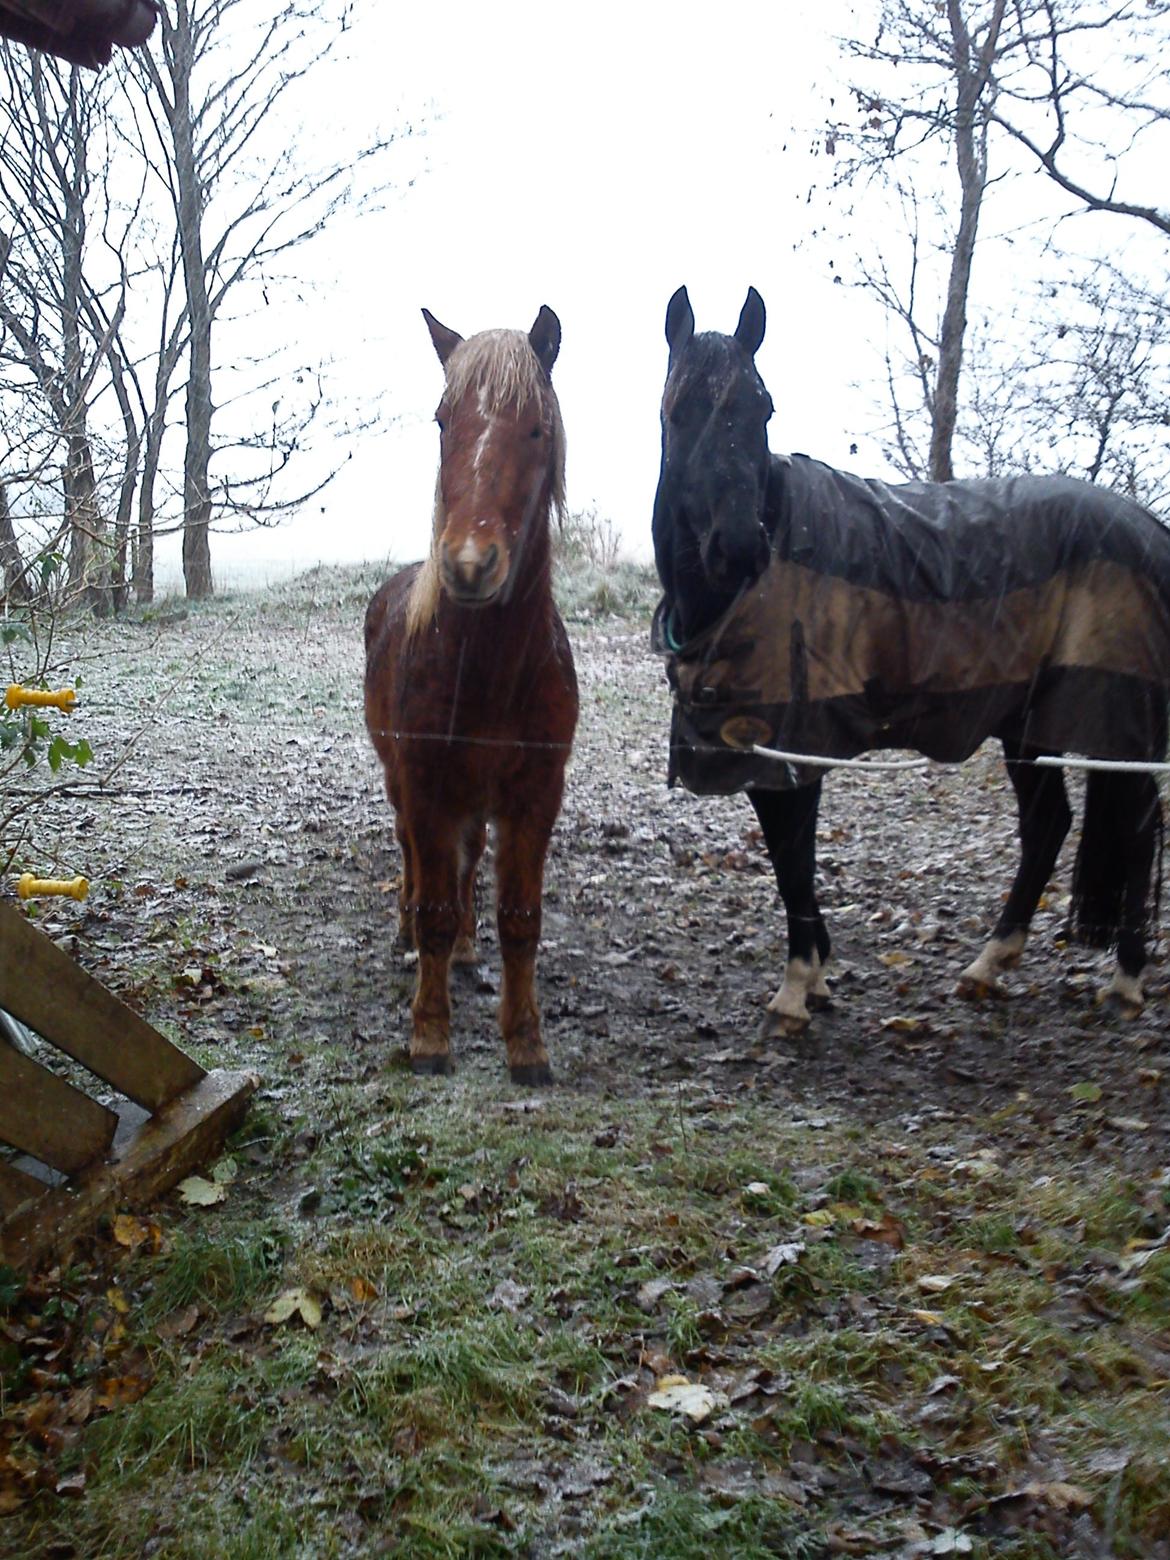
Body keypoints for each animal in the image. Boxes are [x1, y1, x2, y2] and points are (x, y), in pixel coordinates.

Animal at [360, 304, 574, 1085]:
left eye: (536, 429)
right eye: (443, 421)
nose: (470, 564)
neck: (487, 671)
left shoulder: (534, 796)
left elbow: (520, 919)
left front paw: (526, 1041)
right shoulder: (425, 785)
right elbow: (433, 908)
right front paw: (429, 1034)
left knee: (466, 862)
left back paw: (467, 950)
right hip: (404, 784)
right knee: (416, 864)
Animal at [655, 283, 1170, 1035]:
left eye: (763, 409)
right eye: (679, 410)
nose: (740, 546)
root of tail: (1148, 529)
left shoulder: (793, 747)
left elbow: (793, 860)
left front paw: (796, 989)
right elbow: (789, 860)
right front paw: (820, 977)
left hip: (1110, 719)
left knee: (1132, 825)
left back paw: (1126, 981)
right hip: (1028, 726)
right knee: (1049, 824)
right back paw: (990, 964)